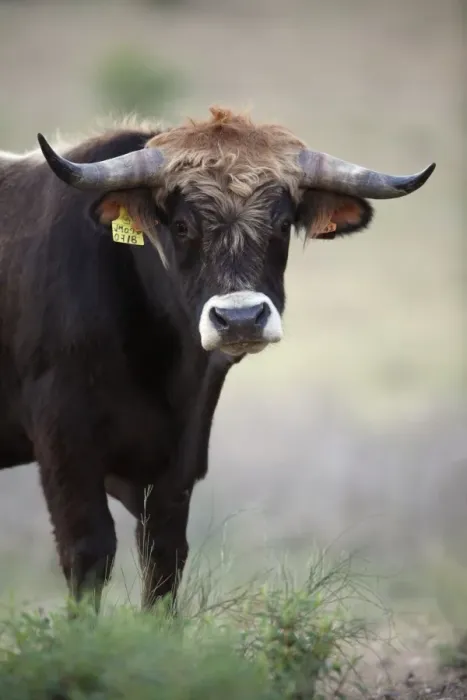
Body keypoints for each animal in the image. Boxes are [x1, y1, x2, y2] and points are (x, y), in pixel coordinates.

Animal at [0, 106, 435, 613]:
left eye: (282, 224)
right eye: (182, 226)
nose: (241, 318)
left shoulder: (177, 465)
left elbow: (164, 560)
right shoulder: (65, 447)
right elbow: (88, 553)